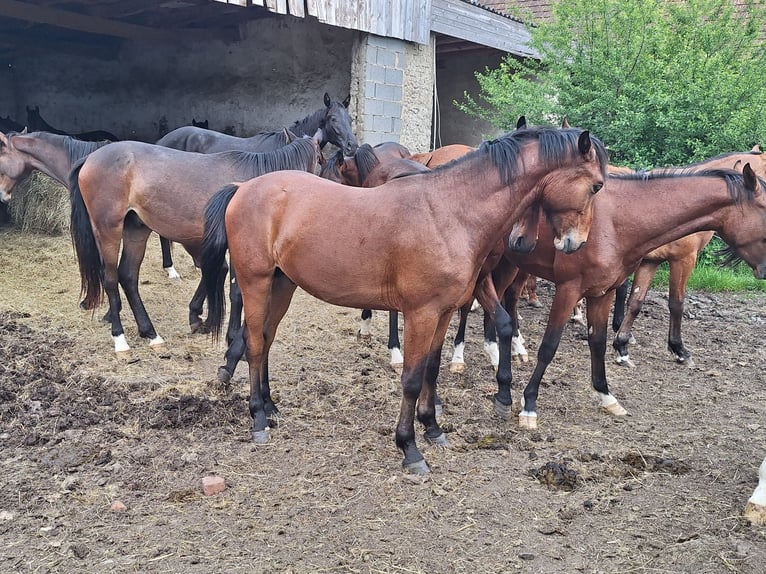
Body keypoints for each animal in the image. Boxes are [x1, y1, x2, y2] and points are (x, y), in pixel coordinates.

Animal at [70, 131, 324, 358]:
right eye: (320, 160)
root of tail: (91, 158)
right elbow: (236, 292)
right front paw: (230, 337)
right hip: (108, 230)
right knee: (111, 280)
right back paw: (120, 341)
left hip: (136, 229)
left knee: (128, 277)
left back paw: (151, 334)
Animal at [204, 128, 612, 474]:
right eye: (596, 185)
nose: (575, 244)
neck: (449, 212)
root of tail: (242, 188)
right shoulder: (421, 313)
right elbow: (412, 379)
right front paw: (410, 448)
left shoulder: (443, 313)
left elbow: (431, 369)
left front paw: (432, 428)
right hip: (256, 282)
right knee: (255, 344)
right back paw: (258, 418)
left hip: (282, 285)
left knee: (267, 338)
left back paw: (271, 406)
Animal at [492, 164, 766, 430]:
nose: (765, 270)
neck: (616, 222)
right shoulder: (569, 290)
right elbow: (549, 347)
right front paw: (529, 404)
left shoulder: (603, 292)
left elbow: (598, 341)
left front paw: (606, 395)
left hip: (514, 264)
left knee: (509, 301)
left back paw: (514, 348)